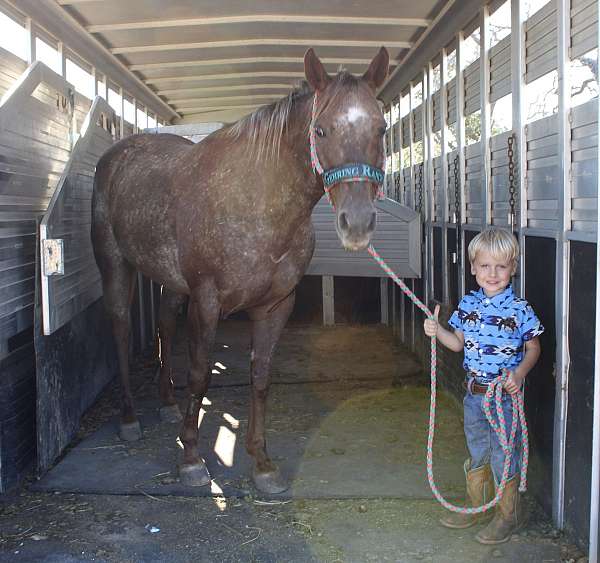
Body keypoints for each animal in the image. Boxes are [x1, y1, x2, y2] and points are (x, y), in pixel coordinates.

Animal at [89, 48, 390, 494]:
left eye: (382, 128)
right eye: (320, 130)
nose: (357, 223)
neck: (256, 200)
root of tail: (116, 156)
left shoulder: (276, 305)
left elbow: (261, 377)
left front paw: (262, 464)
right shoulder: (207, 302)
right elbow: (200, 376)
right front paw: (191, 459)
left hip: (170, 283)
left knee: (164, 326)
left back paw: (167, 404)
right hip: (115, 265)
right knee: (121, 329)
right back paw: (129, 418)